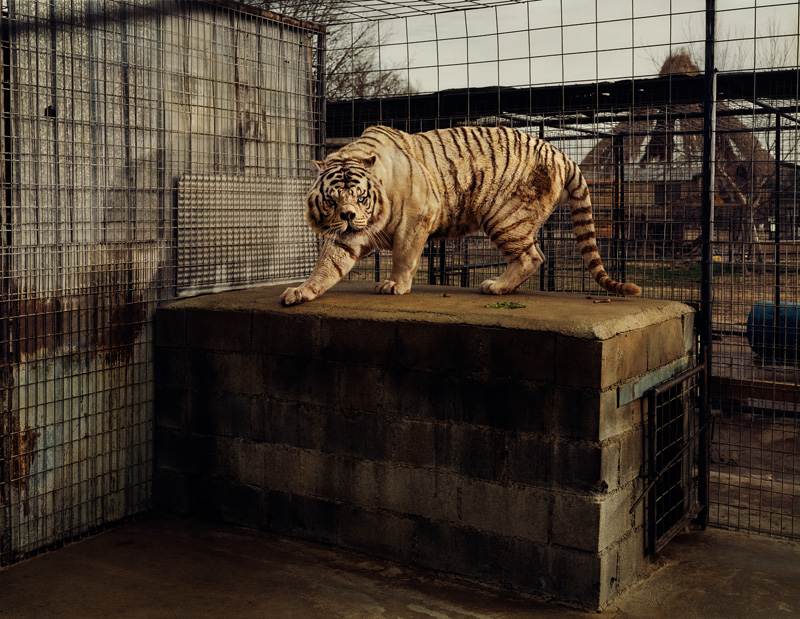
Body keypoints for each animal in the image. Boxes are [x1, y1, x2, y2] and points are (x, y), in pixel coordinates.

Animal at [280, 125, 641, 306]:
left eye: (360, 196)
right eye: (333, 200)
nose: (349, 216)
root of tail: (561, 153)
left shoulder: (417, 215)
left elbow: (404, 255)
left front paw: (395, 285)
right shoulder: (346, 236)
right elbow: (328, 265)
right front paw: (301, 291)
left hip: (504, 217)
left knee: (533, 257)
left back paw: (496, 287)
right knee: (535, 255)